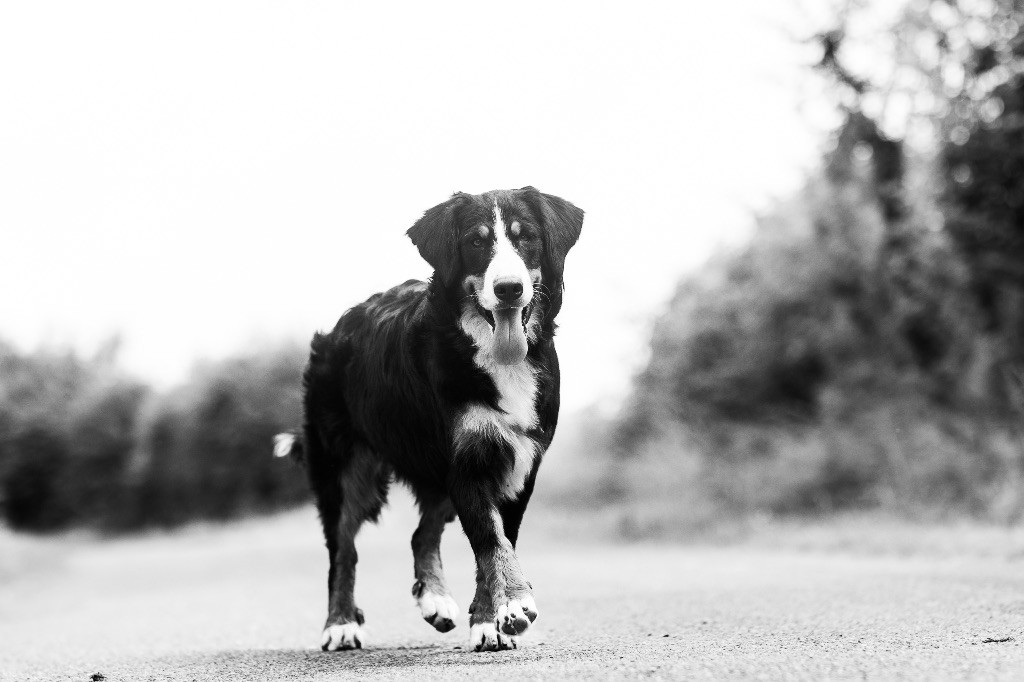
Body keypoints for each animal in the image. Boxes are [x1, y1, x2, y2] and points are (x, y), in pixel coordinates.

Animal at [276, 184, 585, 647]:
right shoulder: (468, 461)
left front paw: (489, 621)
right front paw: (513, 605)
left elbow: (498, 540)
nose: (509, 289)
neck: (492, 356)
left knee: (421, 535)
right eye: (475, 242)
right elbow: (490, 541)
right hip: (346, 469)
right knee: (343, 549)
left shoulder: (518, 461)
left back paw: (435, 601)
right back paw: (341, 623)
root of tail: (335, 330)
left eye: (526, 237)